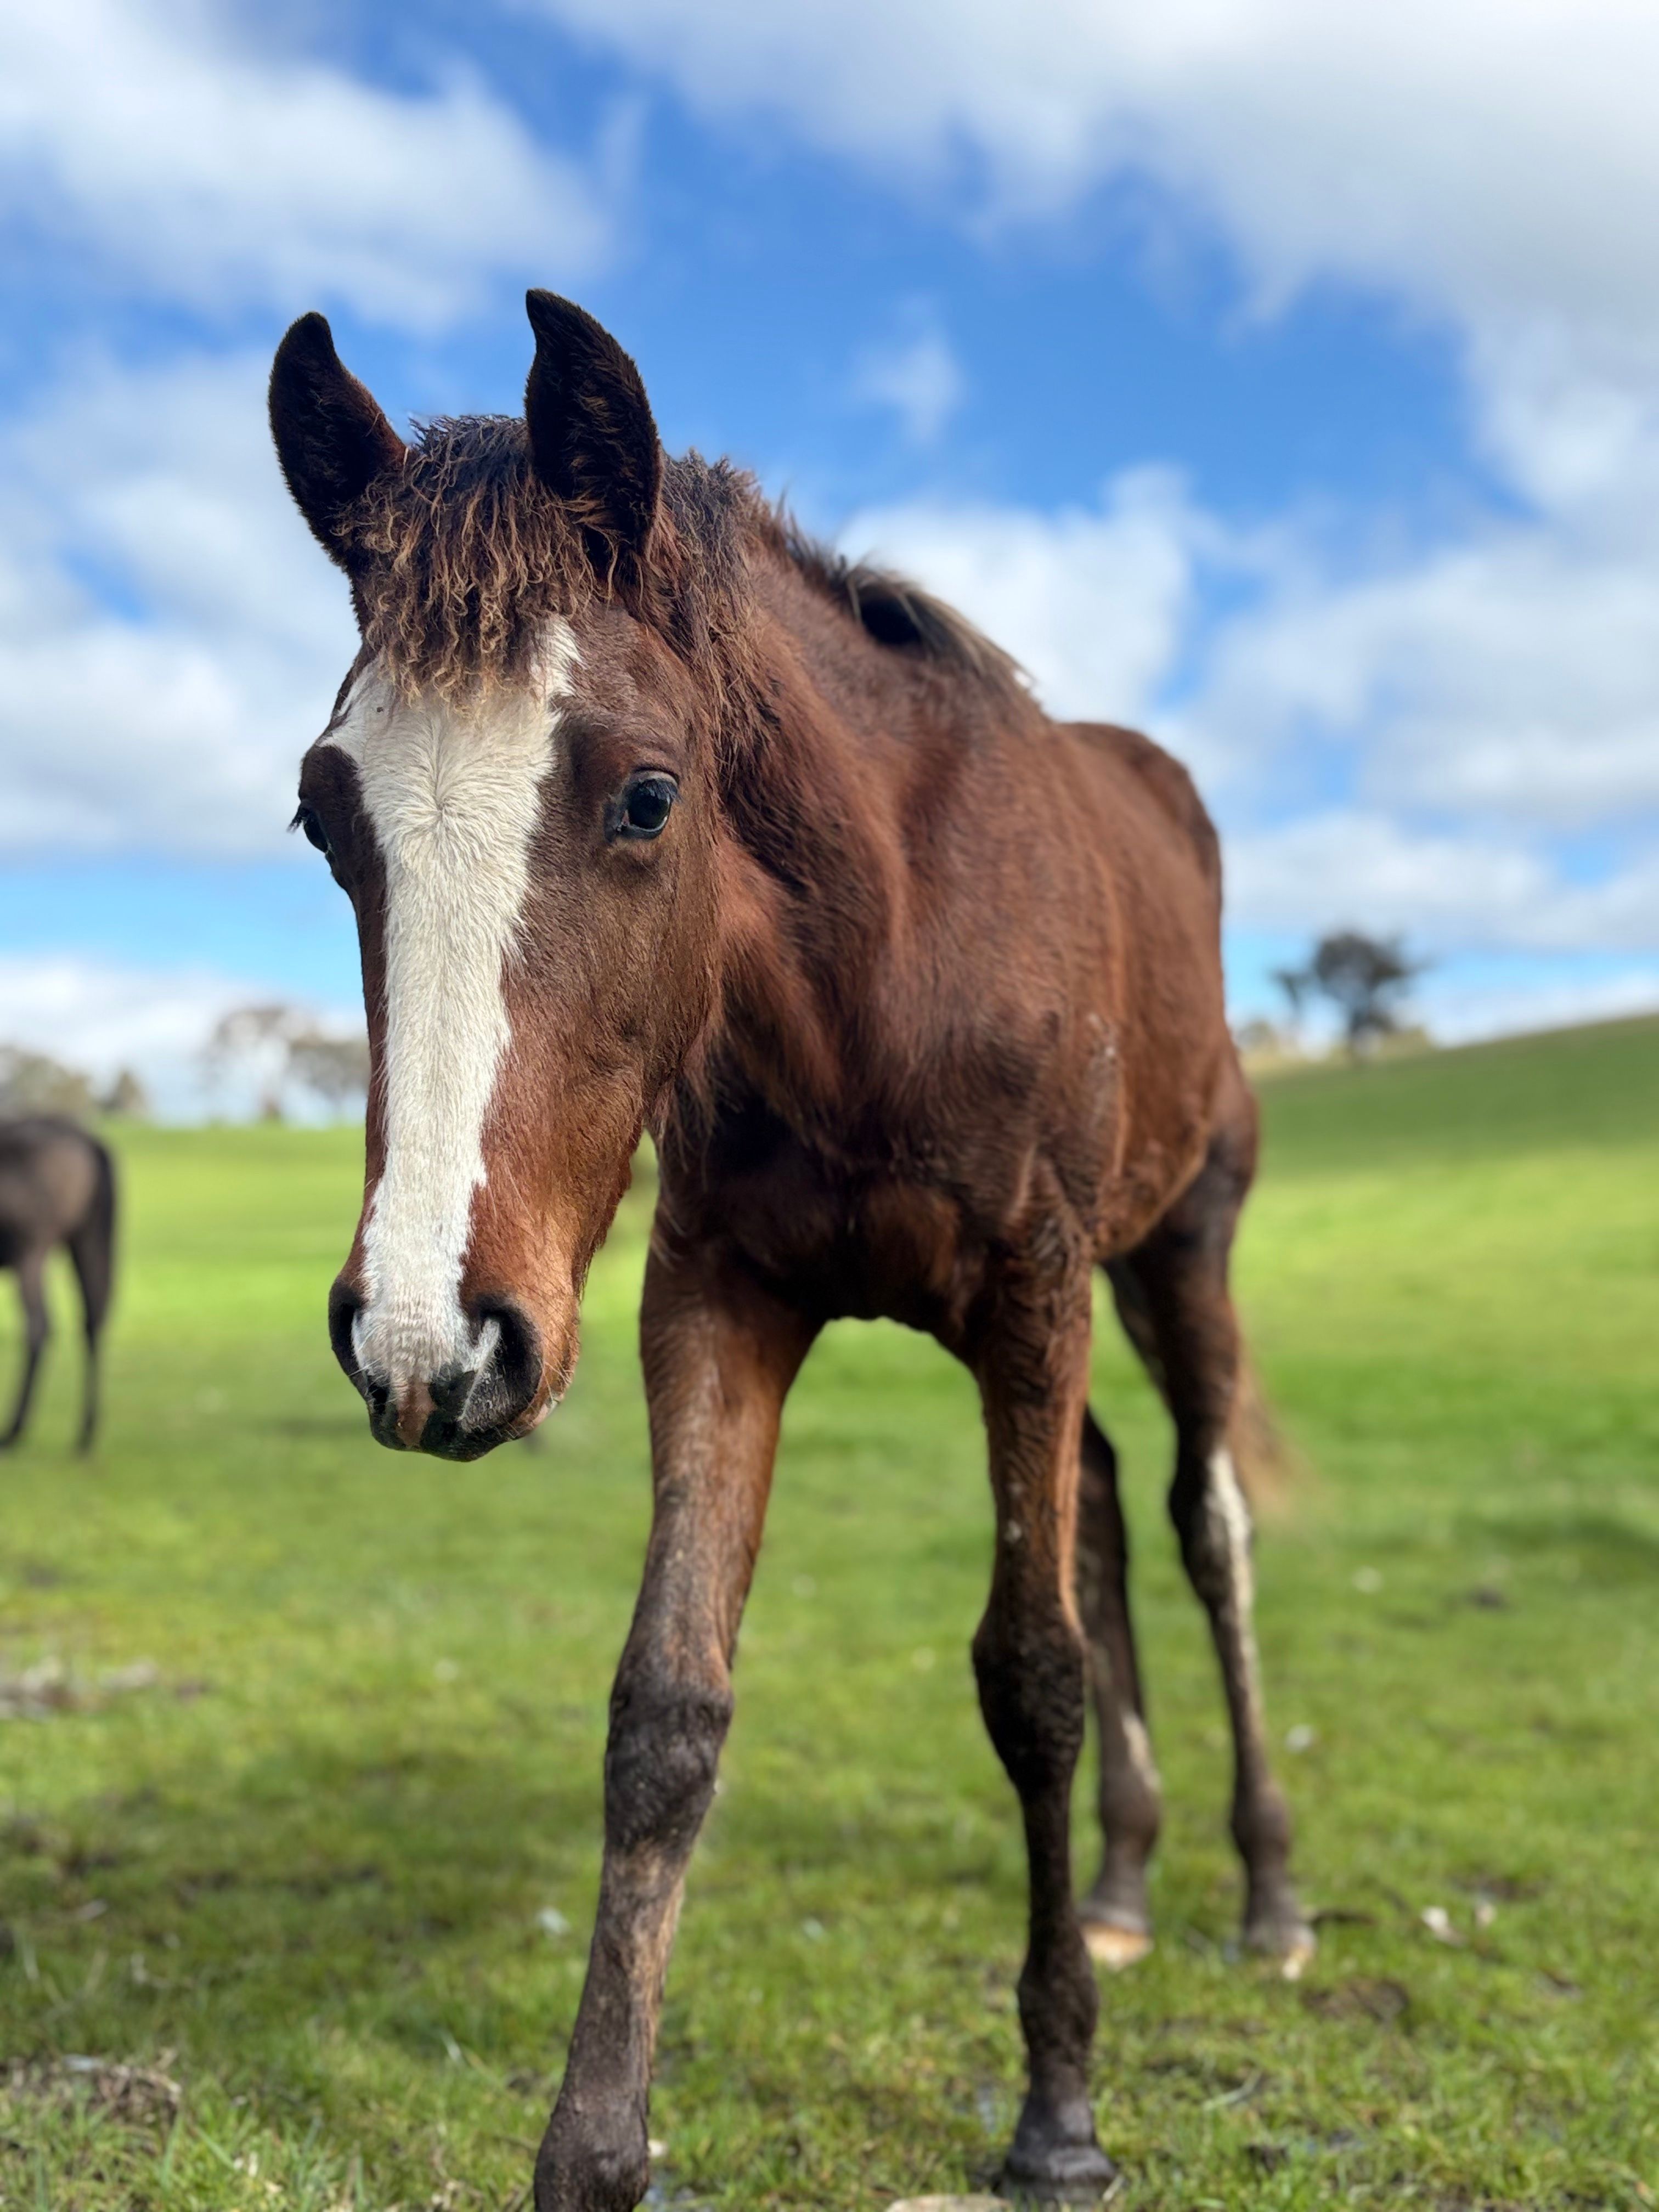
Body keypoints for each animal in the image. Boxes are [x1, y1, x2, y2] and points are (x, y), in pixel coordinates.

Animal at [0, 1117, 116, 1452]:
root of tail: (88, 1139)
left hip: (31, 1253)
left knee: (38, 1327)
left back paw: (14, 1431)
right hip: (84, 1241)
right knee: (92, 1323)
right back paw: (85, 1435)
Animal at [270, 290, 1312, 2209]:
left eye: (645, 796)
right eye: (328, 818)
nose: (425, 1341)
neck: (880, 961)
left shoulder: (1035, 1287)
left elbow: (1031, 1674)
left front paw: (1060, 2116)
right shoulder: (717, 1302)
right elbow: (668, 1707)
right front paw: (594, 2148)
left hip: (1170, 1261)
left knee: (1204, 1523)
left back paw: (1268, 1894)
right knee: (1108, 1508)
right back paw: (1127, 1884)